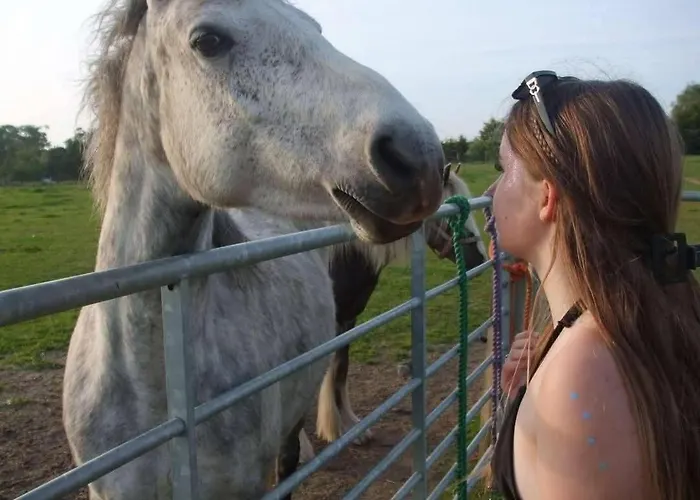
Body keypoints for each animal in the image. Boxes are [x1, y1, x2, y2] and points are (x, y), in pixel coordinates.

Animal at [293, 163, 489, 462]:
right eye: (450, 217)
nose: (480, 259)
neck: (335, 258)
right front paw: (303, 449)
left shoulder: (348, 319)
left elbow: (340, 371)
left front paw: (353, 428)